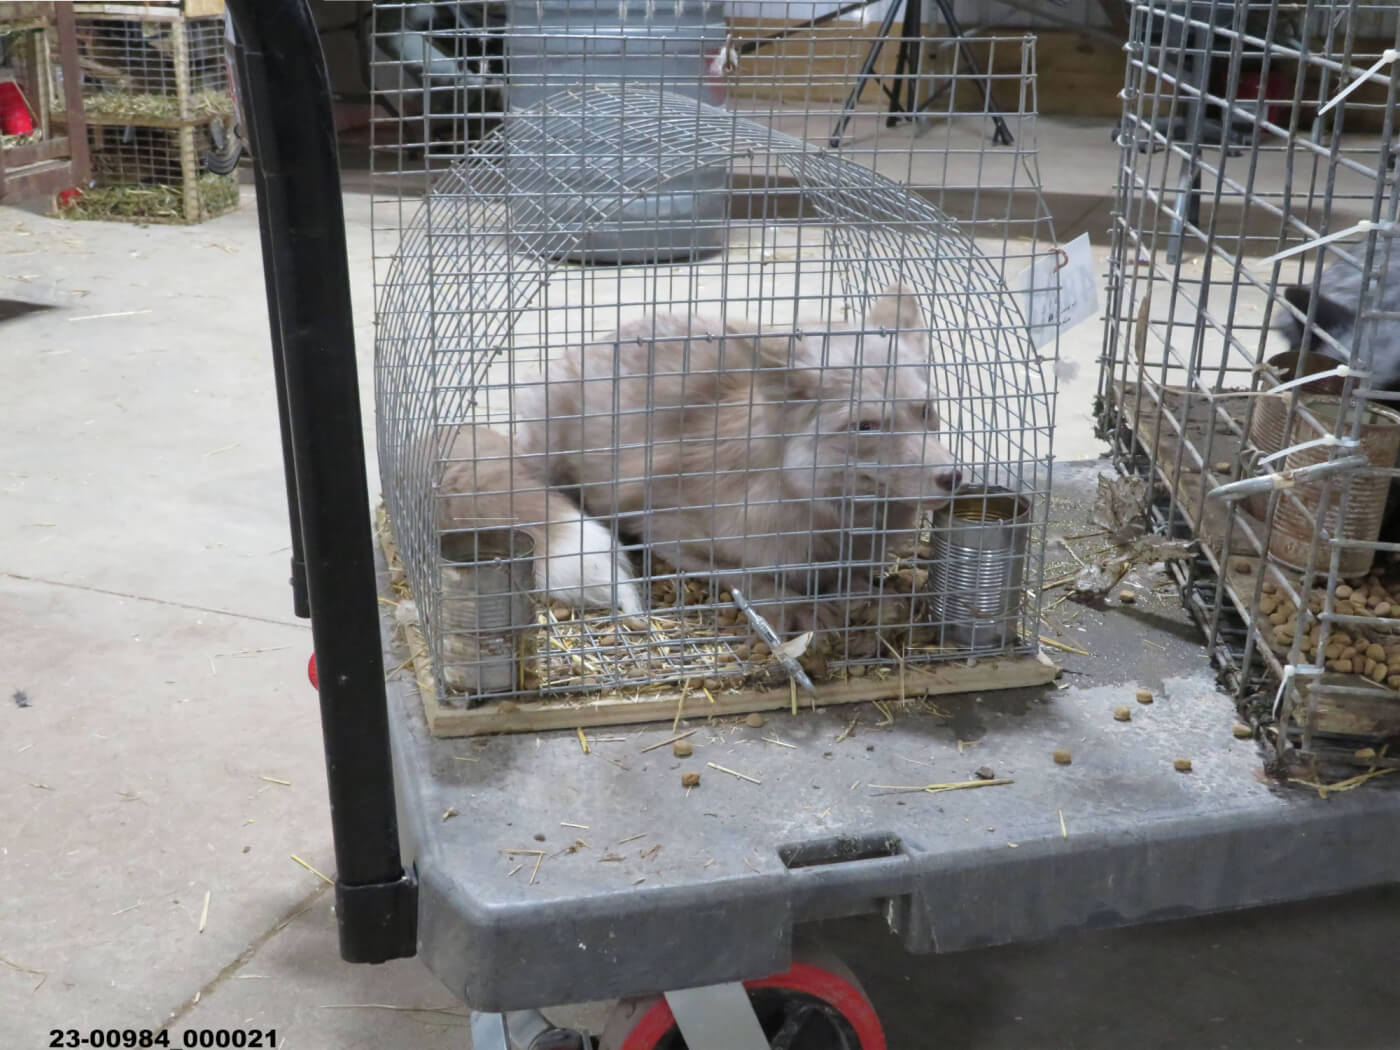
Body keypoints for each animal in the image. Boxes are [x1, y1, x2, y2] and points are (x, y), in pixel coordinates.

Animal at [369, 0, 1058, 722]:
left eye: (927, 412)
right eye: (867, 425)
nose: (953, 477)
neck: (819, 514)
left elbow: (856, 582)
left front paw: (867, 598)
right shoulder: (679, 535)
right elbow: (759, 583)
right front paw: (809, 617)